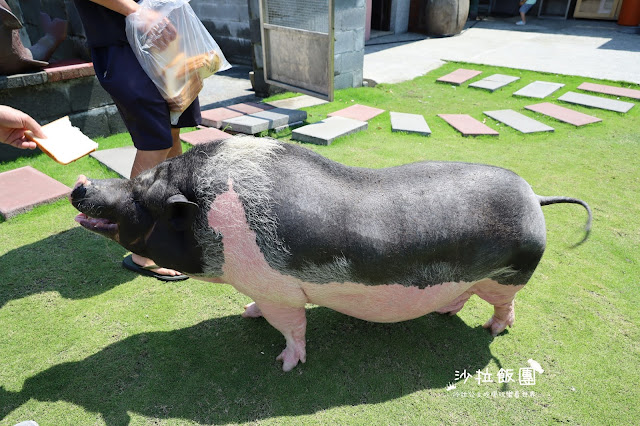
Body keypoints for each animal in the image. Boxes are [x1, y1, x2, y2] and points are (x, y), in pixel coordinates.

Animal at [71, 136, 592, 370]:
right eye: (138, 181)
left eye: (143, 197)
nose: (80, 186)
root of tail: (535, 197)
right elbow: (262, 311)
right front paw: (246, 314)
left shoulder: (280, 290)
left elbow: (292, 327)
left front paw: (285, 365)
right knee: (461, 296)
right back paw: (446, 312)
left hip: (510, 274)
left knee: (506, 306)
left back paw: (492, 330)